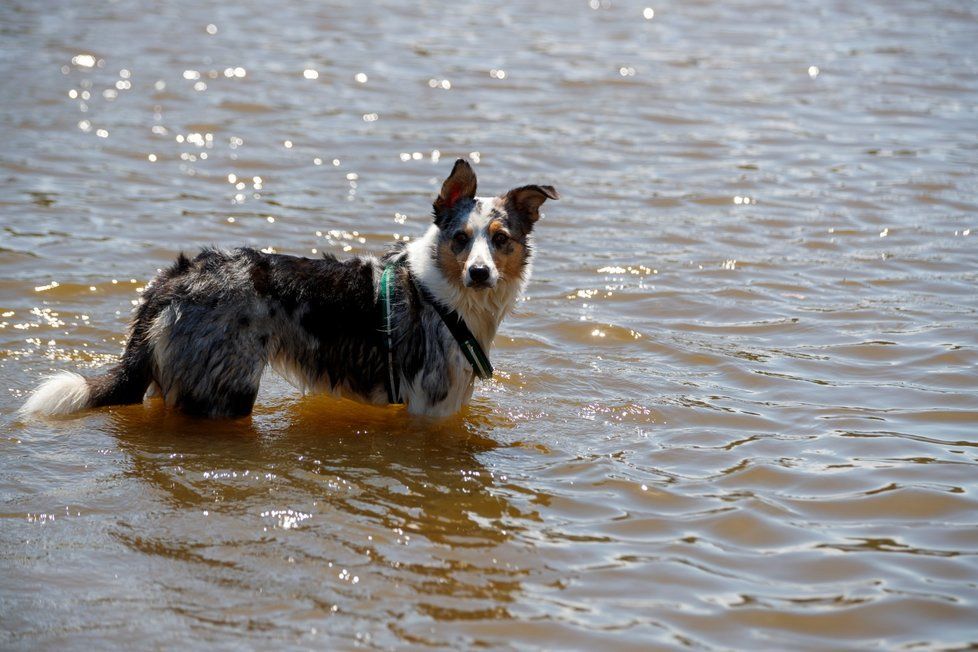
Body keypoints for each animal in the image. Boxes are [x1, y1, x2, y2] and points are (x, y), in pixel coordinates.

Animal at [19, 160, 556, 420]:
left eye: (501, 240)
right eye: (461, 238)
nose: (480, 273)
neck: (450, 298)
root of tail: (174, 279)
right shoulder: (431, 407)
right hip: (224, 392)